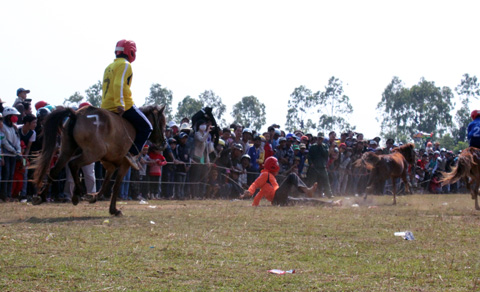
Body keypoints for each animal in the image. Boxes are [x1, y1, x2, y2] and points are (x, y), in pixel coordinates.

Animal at [32, 105, 166, 214]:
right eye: (163, 122)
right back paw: (77, 193)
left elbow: (105, 183)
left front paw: (95, 197)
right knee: (73, 164)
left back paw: (41, 196)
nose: (163, 143)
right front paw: (113, 210)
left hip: (66, 151)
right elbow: (115, 186)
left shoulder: (110, 165)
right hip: (92, 154)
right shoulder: (125, 165)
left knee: (54, 170)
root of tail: (76, 114)